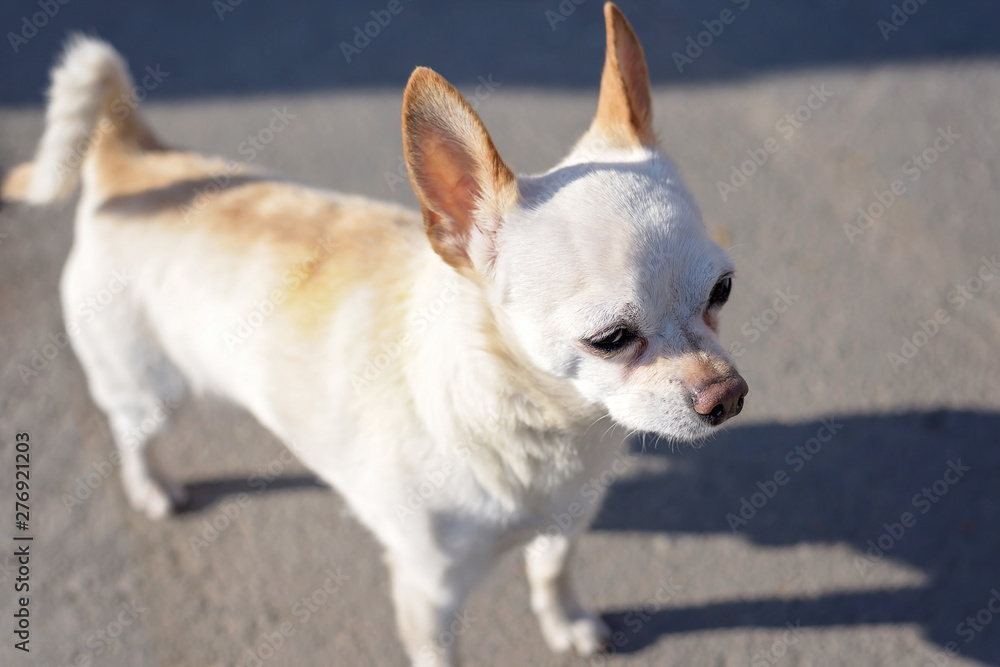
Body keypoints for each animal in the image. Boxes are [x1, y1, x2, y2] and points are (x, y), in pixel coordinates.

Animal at [3, 3, 748, 664]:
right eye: (611, 338)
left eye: (722, 292)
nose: (729, 395)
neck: (543, 431)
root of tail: (130, 158)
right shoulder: (429, 595)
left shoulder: (566, 525)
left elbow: (551, 571)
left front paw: (565, 623)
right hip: (146, 389)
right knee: (132, 435)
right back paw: (151, 486)